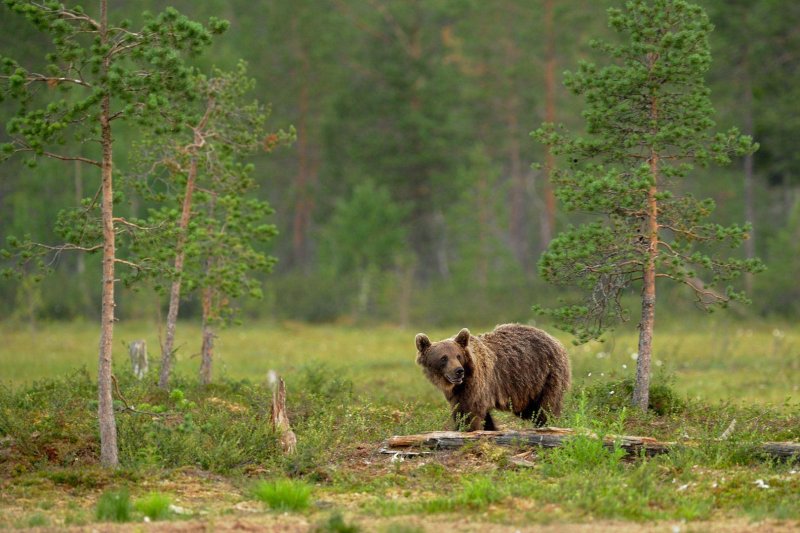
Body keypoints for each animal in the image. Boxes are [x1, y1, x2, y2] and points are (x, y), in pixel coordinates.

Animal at [418, 322, 568, 430]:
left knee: (547, 407)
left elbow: (469, 412)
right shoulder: (458, 393)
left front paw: (468, 429)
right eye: (443, 358)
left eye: (458, 355)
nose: (458, 371)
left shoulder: (476, 385)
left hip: (546, 375)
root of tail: (556, 340)